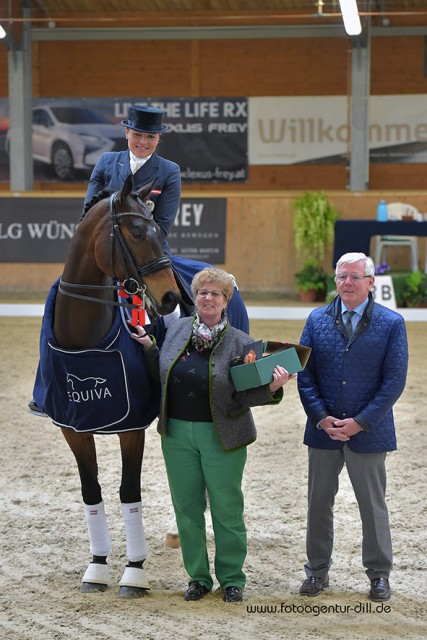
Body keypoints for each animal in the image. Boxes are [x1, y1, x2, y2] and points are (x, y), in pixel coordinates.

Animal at [30, 172, 249, 596]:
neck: (84, 338)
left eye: (159, 232)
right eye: (134, 231)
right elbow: (92, 491)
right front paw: (97, 566)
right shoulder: (73, 428)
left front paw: (134, 572)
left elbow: (129, 492)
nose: (169, 298)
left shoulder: (131, 428)